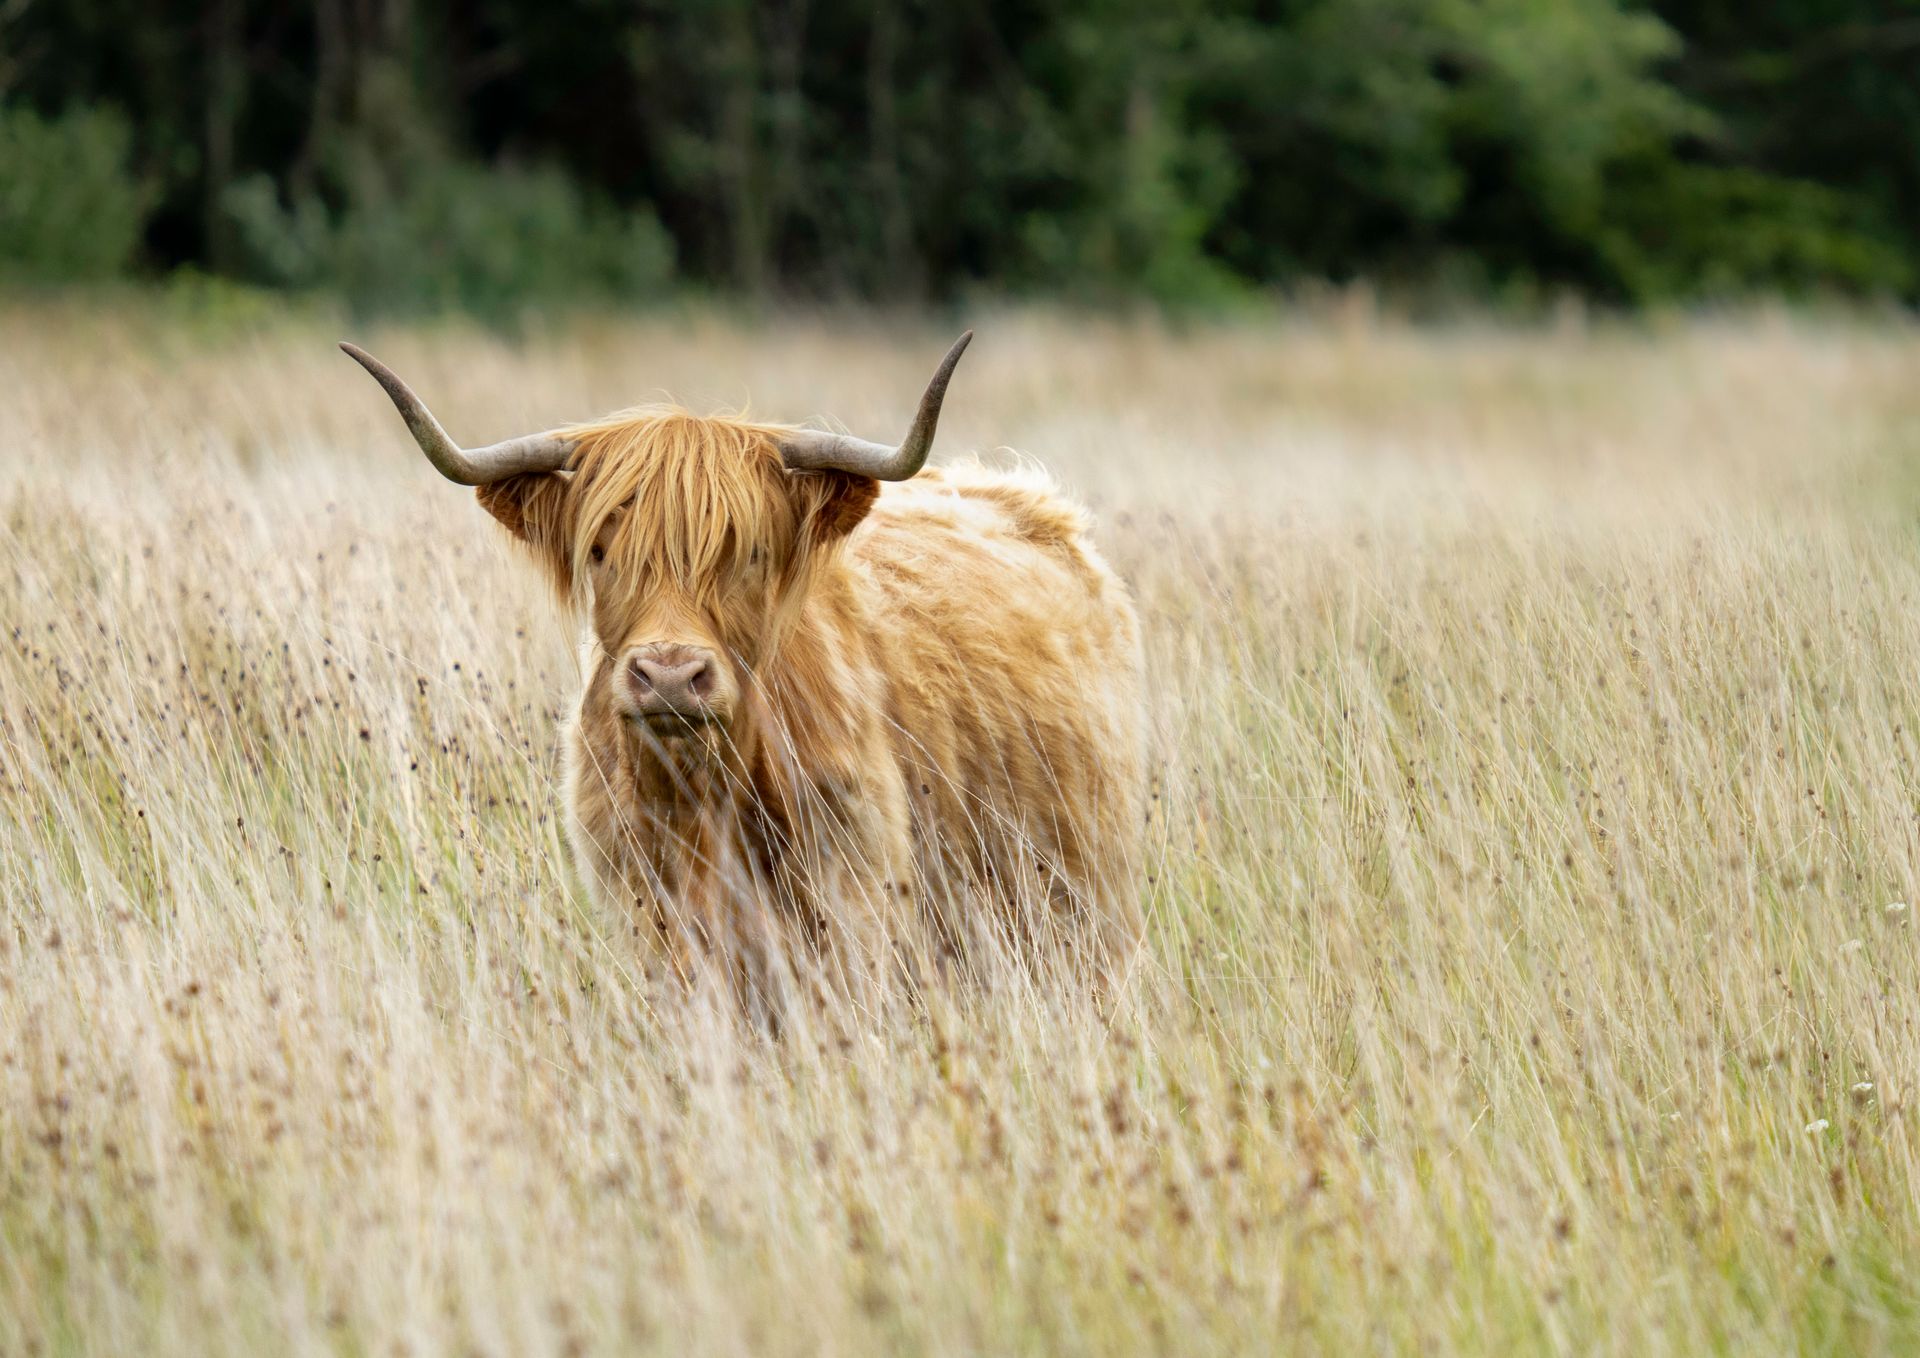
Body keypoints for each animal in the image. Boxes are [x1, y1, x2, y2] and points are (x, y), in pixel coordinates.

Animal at [342, 334, 1145, 1002]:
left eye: (750, 552)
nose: (670, 674)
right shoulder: (653, 925)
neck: (705, 804)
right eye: (601, 551)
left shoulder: (857, 911)